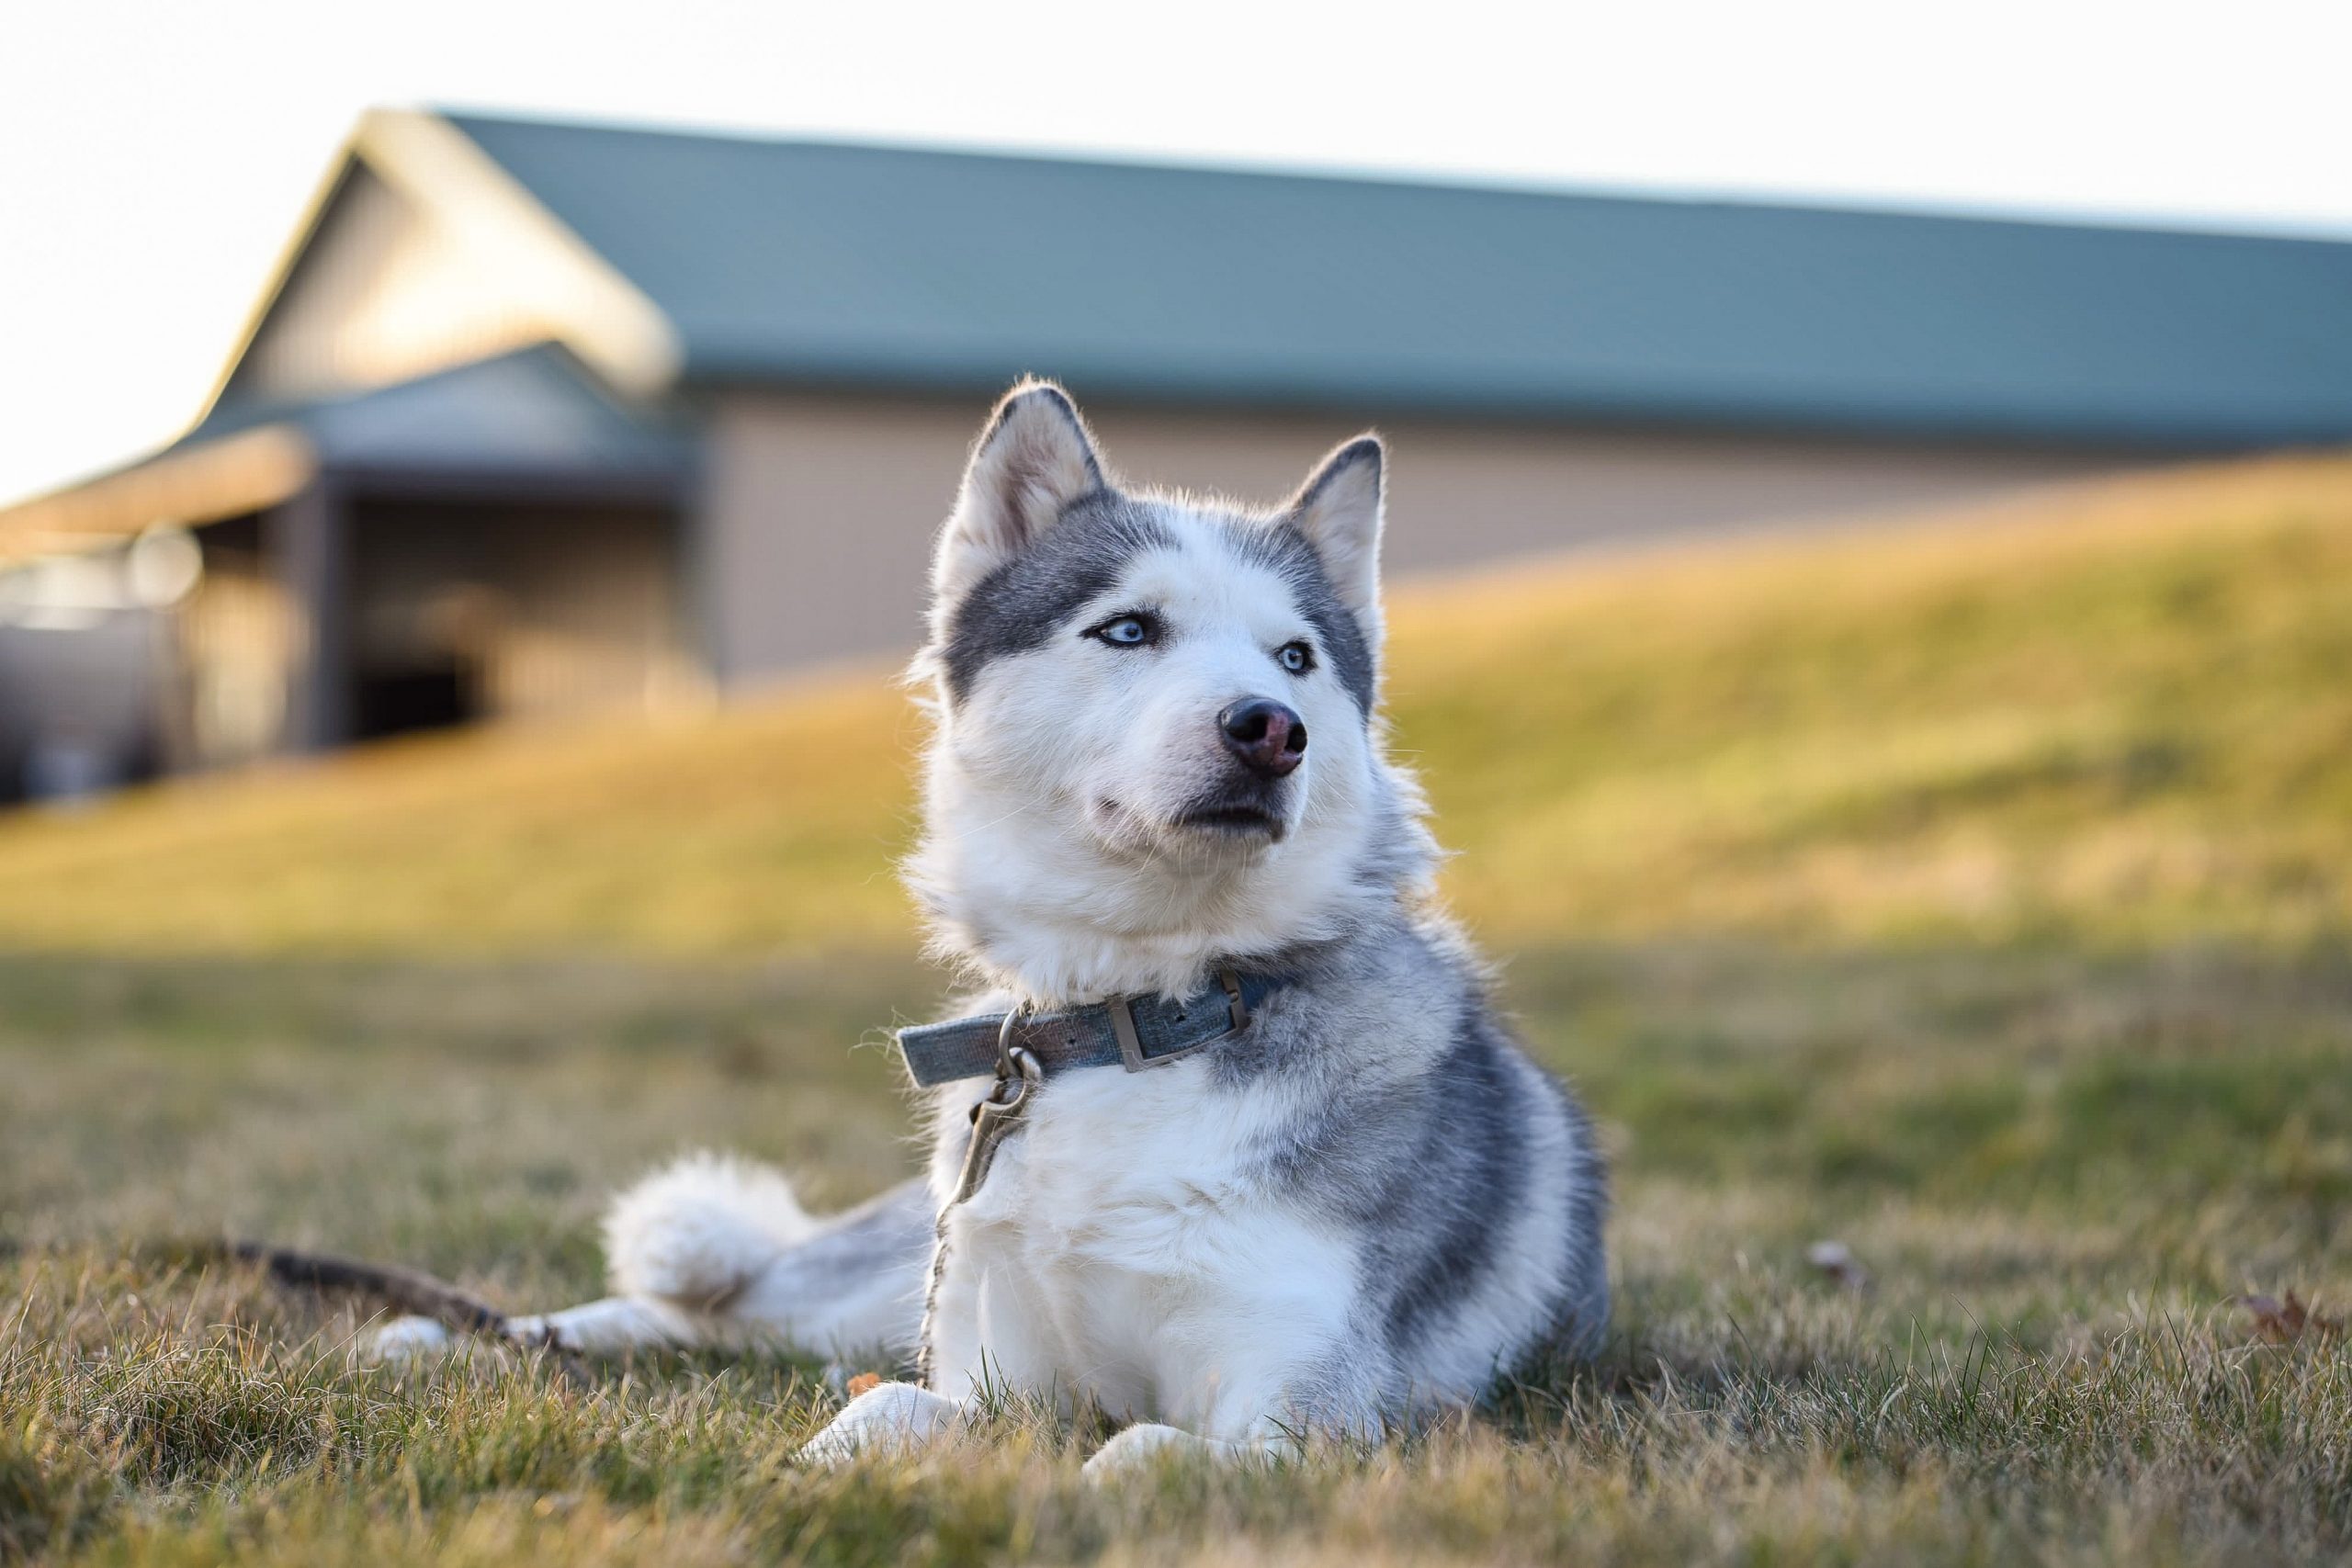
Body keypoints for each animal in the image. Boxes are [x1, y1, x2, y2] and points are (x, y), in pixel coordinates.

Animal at [376, 385, 1609, 1476]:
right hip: (872, 1284)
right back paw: (453, 1340)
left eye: (1296, 658)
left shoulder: (1311, 1420)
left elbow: (1132, 1451)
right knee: (713, 1310)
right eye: (1128, 629)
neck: (1134, 1020)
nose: (1271, 729)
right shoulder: (986, 1368)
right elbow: (876, 1416)